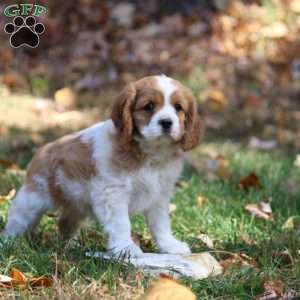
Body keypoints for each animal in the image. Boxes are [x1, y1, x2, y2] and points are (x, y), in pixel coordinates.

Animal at [1, 74, 202, 255]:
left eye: (178, 108)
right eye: (149, 106)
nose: (166, 122)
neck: (150, 153)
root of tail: (43, 149)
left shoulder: (159, 195)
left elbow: (160, 224)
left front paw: (170, 246)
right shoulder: (113, 193)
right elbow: (121, 223)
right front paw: (125, 249)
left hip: (75, 204)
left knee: (65, 223)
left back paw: (70, 246)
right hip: (33, 199)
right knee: (17, 220)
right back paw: (8, 242)